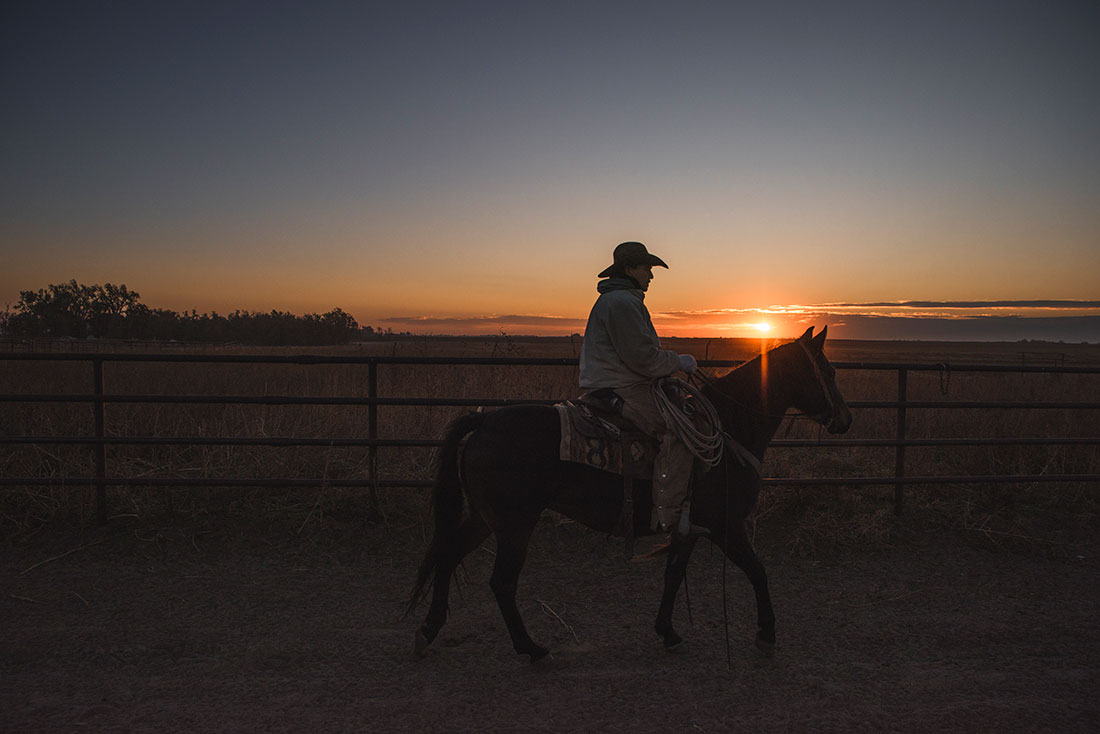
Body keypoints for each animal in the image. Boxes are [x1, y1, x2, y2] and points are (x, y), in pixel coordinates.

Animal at [411, 327, 849, 660]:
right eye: (828, 371)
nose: (845, 419)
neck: (730, 427)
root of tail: (484, 421)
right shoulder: (725, 525)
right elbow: (758, 571)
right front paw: (767, 634)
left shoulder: (689, 528)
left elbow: (674, 574)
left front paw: (667, 631)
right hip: (515, 525)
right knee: (501, 582)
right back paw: (530, 648)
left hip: (486, 519)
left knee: (448, 556)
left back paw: (429, 630)